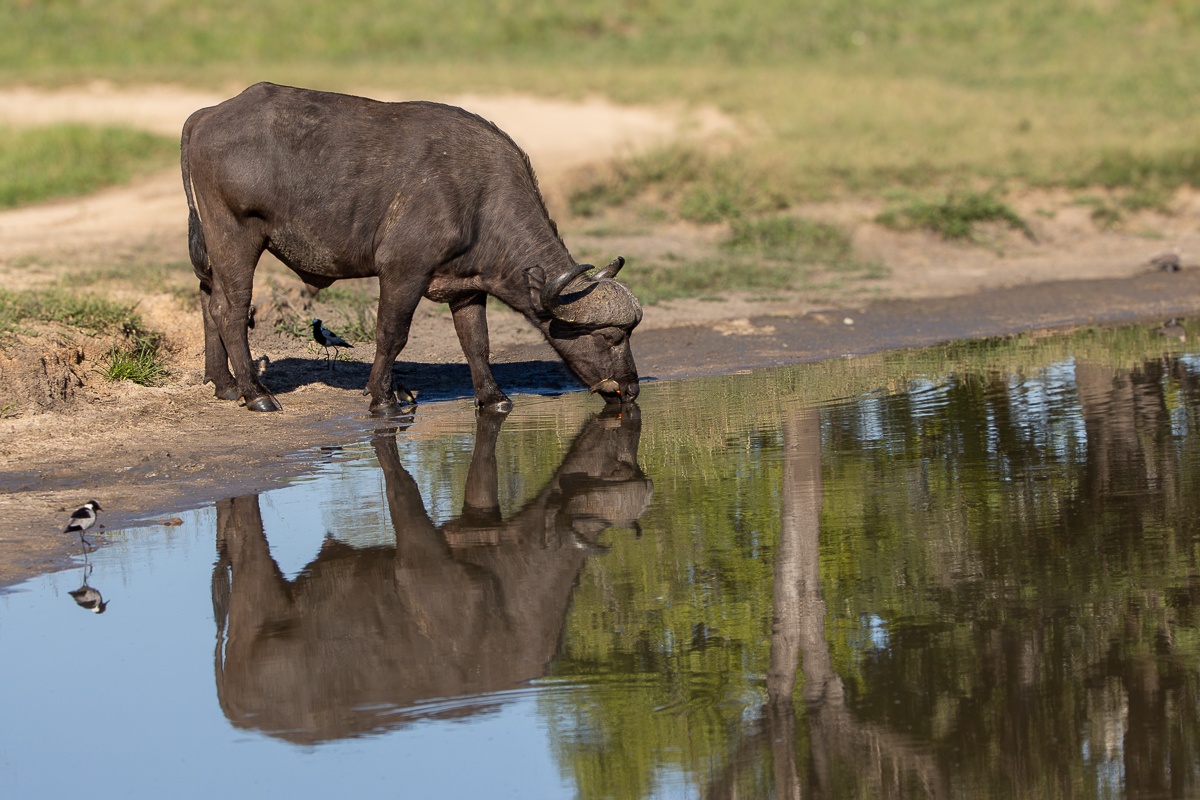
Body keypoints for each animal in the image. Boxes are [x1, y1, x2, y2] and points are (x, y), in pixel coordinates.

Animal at [181, 82, 642, 413]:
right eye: (611, 337)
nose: (631, 389)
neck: (478, 199)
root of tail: (206, 115)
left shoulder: (467, 287)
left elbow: (476, 342)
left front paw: (494, 398)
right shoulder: (403, 271)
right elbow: (392, 334)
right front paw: (383, 397)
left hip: (213, 245)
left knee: (207, 298)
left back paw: (225, 385)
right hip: (237, 235)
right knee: (231, 309)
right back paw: (256, 393)